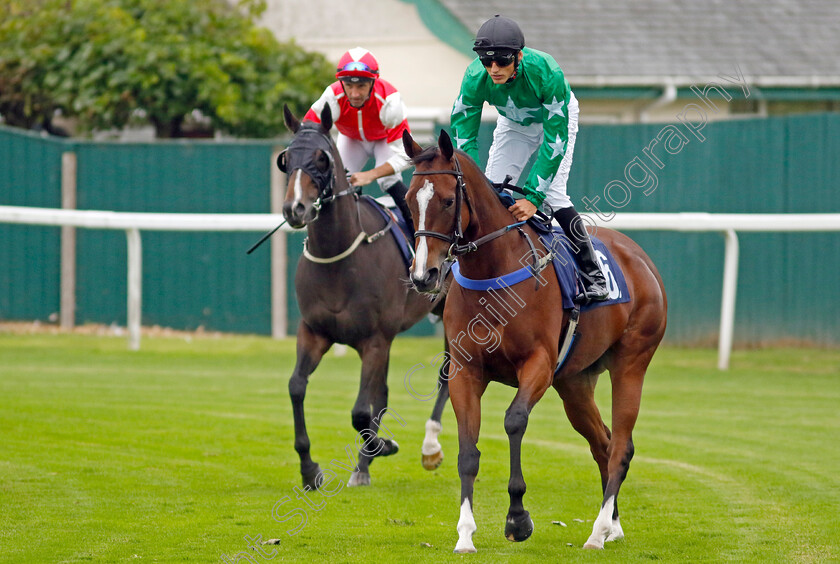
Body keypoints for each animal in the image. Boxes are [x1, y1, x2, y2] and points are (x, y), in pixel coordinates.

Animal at [278, 104, 450, 490]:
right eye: (286, 159)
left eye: (321, 159)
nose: (295, 209)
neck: (338, 257)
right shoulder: (314, 332)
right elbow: (296, 387)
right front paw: (310, 469)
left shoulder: (374, 340)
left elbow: (360, 411)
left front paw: (382, 445)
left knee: (447, 374)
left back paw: (427, 448)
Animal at [404, 130, 668, 552]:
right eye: (411, 200)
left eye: (447, 200)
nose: (423, 275)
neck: (493, 271)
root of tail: (641, 259)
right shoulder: (465, 370)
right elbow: (467, 449)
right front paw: (465, 533)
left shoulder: (538, 364)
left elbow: (514, 421)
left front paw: (517, 518)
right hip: (574, 383)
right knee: (603, 442)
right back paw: (612, 525)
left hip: (631, 363)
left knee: (621, 447)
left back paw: (597, 531)